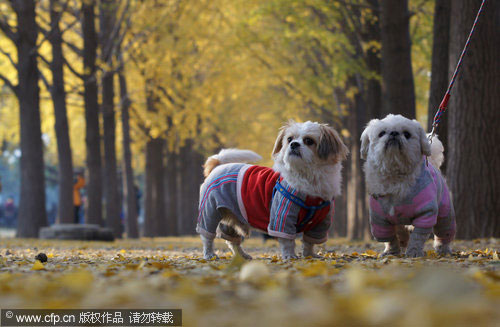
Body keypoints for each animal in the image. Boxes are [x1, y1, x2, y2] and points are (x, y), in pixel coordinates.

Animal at [195, 121, 348, 260]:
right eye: (289, 139)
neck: (309, 177)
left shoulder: (321, 224)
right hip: (209, 212)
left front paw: (310, 255)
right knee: (207, 237)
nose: (294, 144)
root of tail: (218, 166)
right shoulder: (283, 216)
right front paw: (289, 256)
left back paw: (242, 255)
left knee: (232, 241)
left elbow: (309, 242)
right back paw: (209, 255)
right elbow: (287, 241)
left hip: (231, 218)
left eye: (309, 141)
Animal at [362, 115, 456, 258]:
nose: (394, 133)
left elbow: (417, 237)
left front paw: (414, 252)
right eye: (381, 133)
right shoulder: (380, 220)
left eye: (407, 134)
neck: (395, 174)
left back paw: (443, 250)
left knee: (443, 233)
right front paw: (391, 252)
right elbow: (389, 238)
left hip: (445, 214)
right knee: (401, 235)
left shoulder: (426, 213)